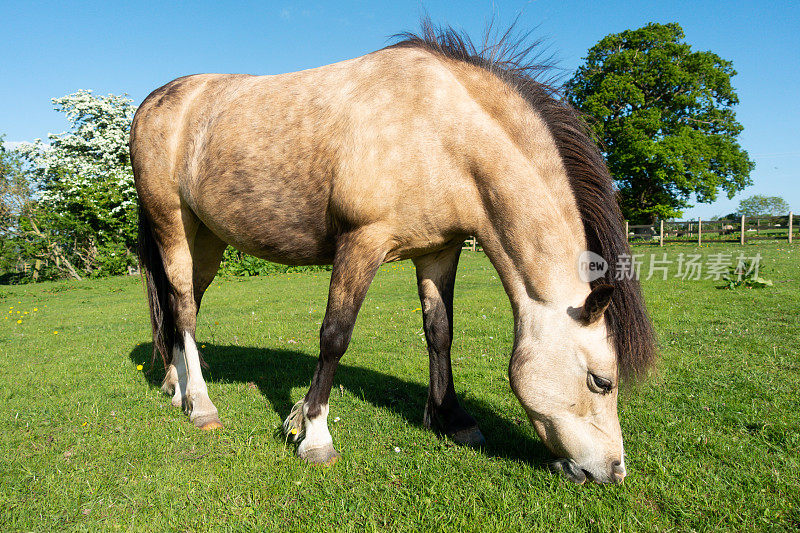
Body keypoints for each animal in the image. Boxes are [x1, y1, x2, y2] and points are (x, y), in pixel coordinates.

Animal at [131, 22, 652, 484]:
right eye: (602, 381)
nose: (614, 471)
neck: (439, 131)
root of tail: (154, 101)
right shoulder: (361, 242)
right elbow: (334, 336)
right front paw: (313, 434)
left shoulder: (439, 252)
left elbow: (440, 332)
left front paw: (452, 419)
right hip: (172, 225)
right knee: (183, 307)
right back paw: (201, 405)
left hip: (206, 240)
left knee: (182, 305)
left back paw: (176, 386)